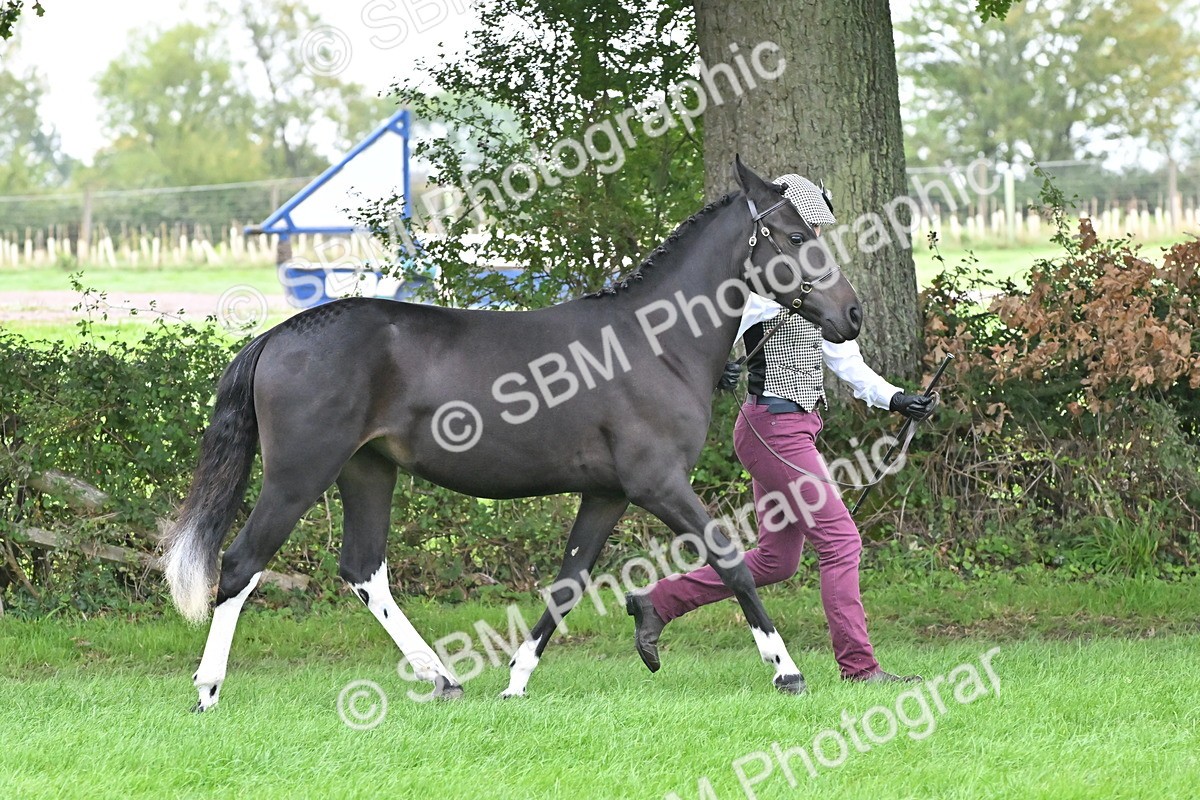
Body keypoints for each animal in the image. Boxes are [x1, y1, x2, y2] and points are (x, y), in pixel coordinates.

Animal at [164, 157, 862, 711]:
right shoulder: (658, 485)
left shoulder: (607, 494)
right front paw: (787, 671)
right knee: (241, 564)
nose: (851, 316)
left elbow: (568, 583)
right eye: (795, 236)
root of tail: (280, 334)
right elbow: (731, 562)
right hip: (298, 475)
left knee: (363, 570)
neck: (653, 343)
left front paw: (516, 680)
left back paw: (443, 679)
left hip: (367, 471)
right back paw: (207, 690)